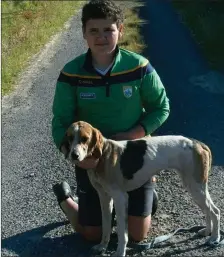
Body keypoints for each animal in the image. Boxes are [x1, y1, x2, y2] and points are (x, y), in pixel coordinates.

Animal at [60, 120, 220, 256]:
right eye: (70, 138)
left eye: (85, 138)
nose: (74, 155)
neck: (103, 156)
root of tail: (198, 143)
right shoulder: (105, 198)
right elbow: (106, 226)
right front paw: (102, 246)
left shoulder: (120, 198)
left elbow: (122, 232)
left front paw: (120, 252)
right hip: (195, 188)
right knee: (208, 211)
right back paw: (207, 231)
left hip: (195, 187)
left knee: (215, 211)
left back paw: (215, 238)